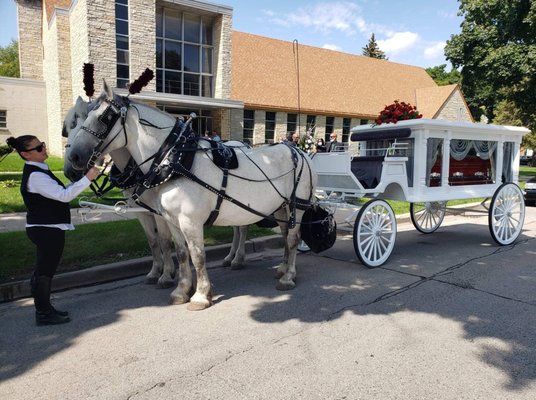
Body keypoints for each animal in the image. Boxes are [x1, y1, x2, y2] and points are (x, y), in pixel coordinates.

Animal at [67, 83, 318, 310]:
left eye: (105, 117)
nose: (74, 158)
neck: (174, 160)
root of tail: (299, 151)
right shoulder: (170, 219)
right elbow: (180, 253)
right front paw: (181, 290)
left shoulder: (190, 221)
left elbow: (197, 256)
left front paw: (200, 295)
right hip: (282, 207)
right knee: (283, 235)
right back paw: (282, 268)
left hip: (298, 206)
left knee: (293, 238)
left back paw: (288, 277)